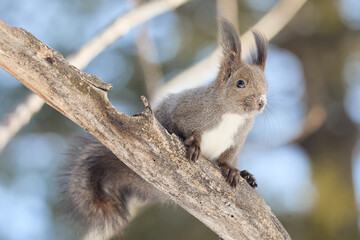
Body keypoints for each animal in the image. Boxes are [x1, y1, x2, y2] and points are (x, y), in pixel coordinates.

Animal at [58, 18, 268, 240]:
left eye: (266, 85)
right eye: (240, 83)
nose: (261, 102)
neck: (232, 115)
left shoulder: (237, 141)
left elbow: (228, 156)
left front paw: (231, 170)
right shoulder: (184, 110)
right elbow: (182, 128)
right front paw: (193, 144)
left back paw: (246, 176)